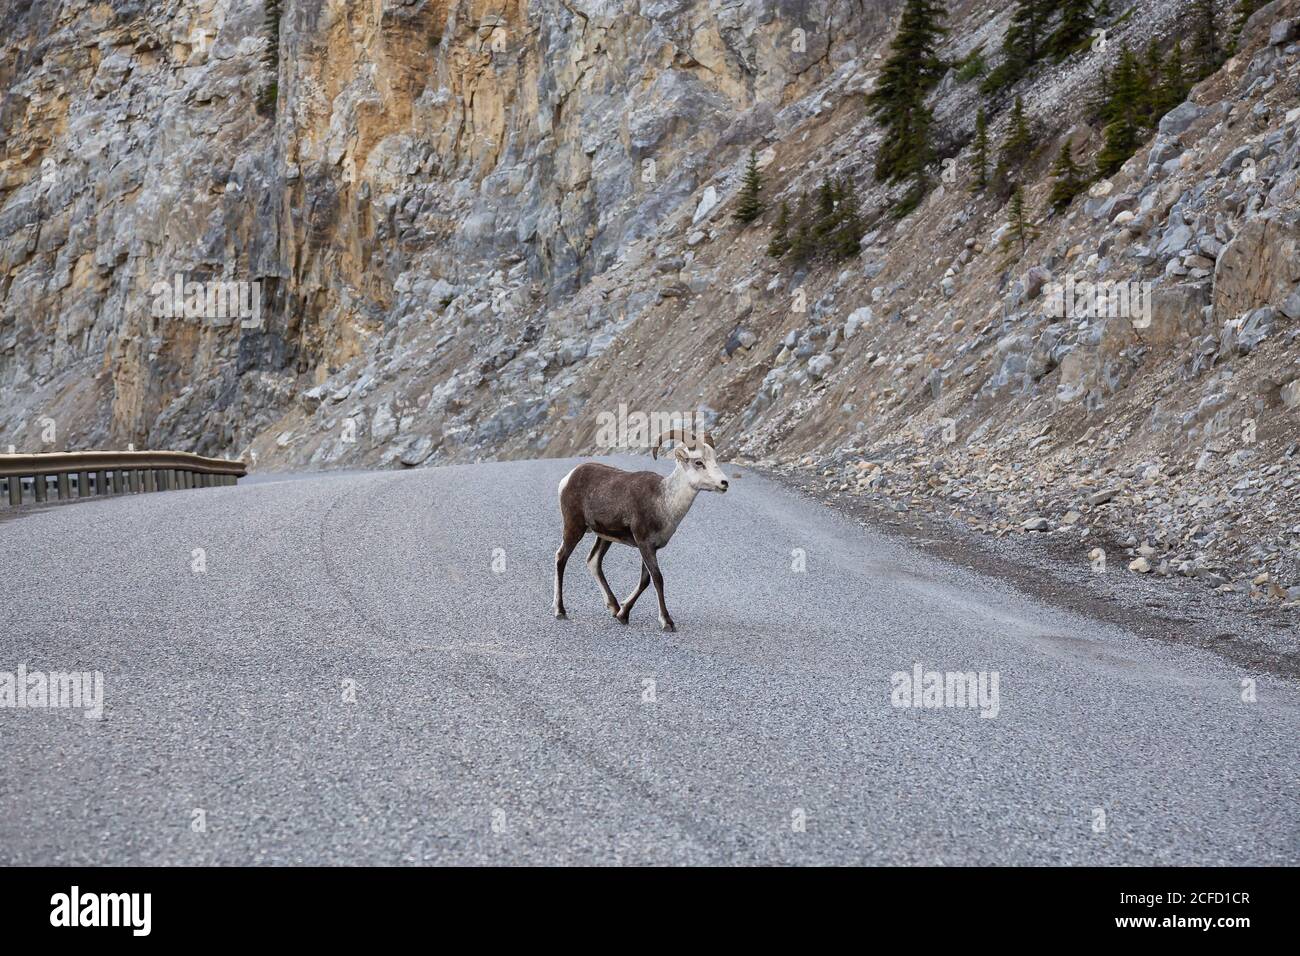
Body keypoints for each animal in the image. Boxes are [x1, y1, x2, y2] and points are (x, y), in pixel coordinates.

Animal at [553, 427, 729, 632]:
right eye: (698, 462)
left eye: (715, 459)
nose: (724, 483)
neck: (663, 502)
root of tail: (568, 478)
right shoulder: (644, 545)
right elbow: (658, 579)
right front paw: (667, 622)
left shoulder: (651, 548)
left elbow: (645, 581)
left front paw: (623, 614)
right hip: (574, 528)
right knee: (561, 557)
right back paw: (560, 611)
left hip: (604, 537)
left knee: (593, 561)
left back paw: (614, 607)